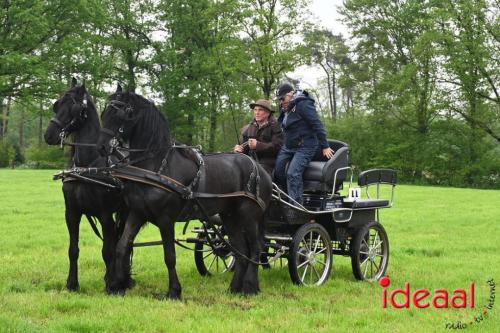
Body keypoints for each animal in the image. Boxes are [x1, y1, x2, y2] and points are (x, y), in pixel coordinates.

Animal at [44, 78, 129, 290]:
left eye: (74, 108)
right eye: (56, 104)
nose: (49, 135)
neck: (87, 166)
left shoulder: (105, 214)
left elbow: (107, 251)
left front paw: (111, 284)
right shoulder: (72, 213)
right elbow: (73, 249)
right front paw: (71, 284)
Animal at [95, 86, 272, 298]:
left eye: (120, 113)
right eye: (104, 112)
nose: (101, 147)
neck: (156, 166)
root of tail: (260, 170)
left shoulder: (166, 218)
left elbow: (169, 256)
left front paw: (174, 291)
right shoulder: (137, 213)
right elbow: (122, 246)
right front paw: (116, 285)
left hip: (249, 216)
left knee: (255, 249)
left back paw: (250, 287)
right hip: (230, 216)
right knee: (241, 250)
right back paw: (234, 288)